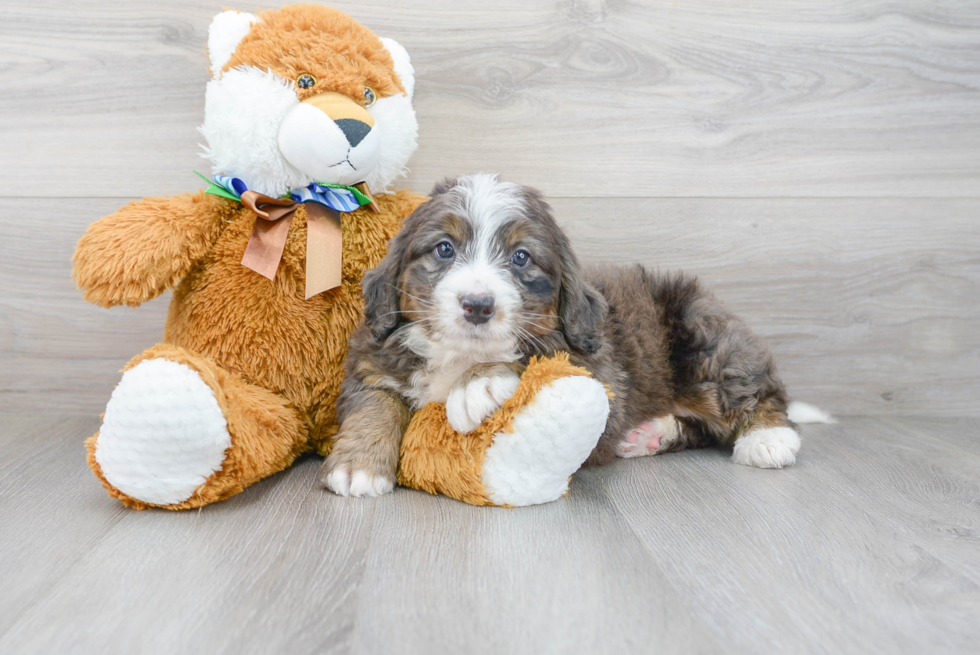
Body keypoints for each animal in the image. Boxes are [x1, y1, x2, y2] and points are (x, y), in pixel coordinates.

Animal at [326, 174, 800, 498]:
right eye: (444, 248)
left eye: (521, 257)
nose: (478, 305)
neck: (458, 355)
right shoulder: (373, 360)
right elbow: (375, 403)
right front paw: (359, 464)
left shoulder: (601, 369)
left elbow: (537, 352)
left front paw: (479, 383)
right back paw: (654, 433)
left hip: (706, 343)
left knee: (758, 394)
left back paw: (768, 438)